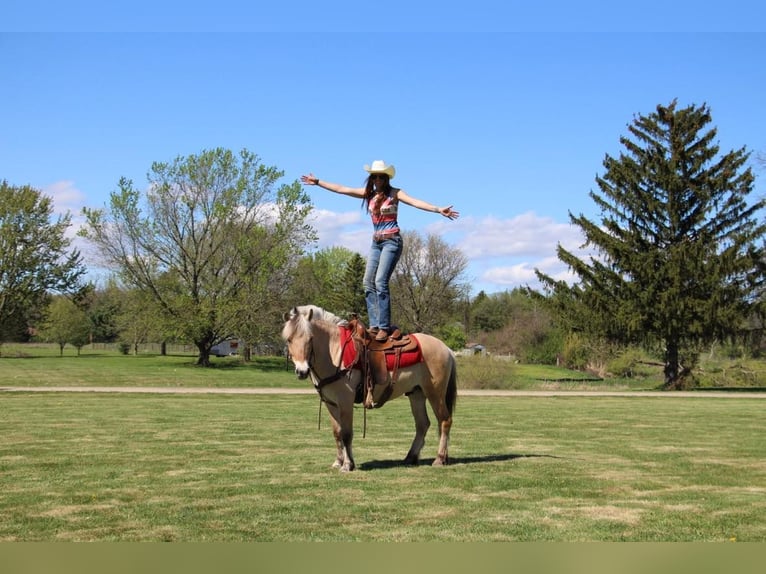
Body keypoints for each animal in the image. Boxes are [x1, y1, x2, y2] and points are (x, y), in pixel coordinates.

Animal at [284, 306, 460, 472]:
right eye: (289, 340)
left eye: (310, 339)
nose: (302, 371)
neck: (334, 351)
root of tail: (447, 349)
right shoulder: (330, 403)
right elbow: (337, 432)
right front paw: (338, 462)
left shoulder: (345, 401)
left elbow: (346, 433)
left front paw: (347, 465)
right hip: (416, 394)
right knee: (423, 424)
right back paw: (410, 457)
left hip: (435, 393)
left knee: (444, 421)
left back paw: (439, 459)